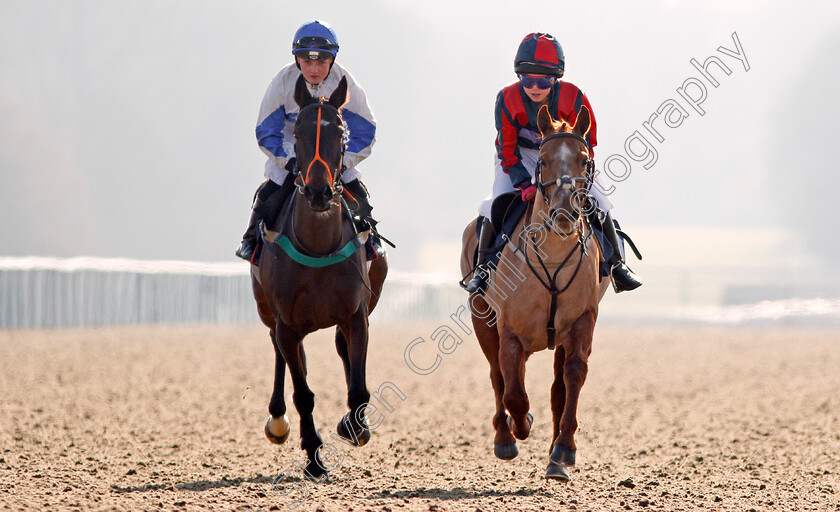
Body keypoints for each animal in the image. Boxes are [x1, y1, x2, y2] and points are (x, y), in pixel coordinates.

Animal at [251, 75, 388, 480]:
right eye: (297, 130)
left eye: (339, 131)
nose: (317, 191)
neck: (316, 248)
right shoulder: (287, 323)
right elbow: (303, 393)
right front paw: (313, 456)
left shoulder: (356, 314)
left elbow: (357, 387)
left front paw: (355, 427)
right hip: (268, 310)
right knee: (280, 351)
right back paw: (277, 421)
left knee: (341, 350)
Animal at [462, 106, 608, 482]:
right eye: (542, 160)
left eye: (584, 160)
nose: (565, 213)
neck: (553, 254)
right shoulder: (509, 332)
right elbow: (513, 392)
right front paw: (521, 425)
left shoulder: (581, 322)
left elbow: (573, 377)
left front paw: (564, 449)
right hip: (482, 319)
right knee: (498, 378)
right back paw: (505, 436)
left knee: (557, 387)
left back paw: (555, 452)